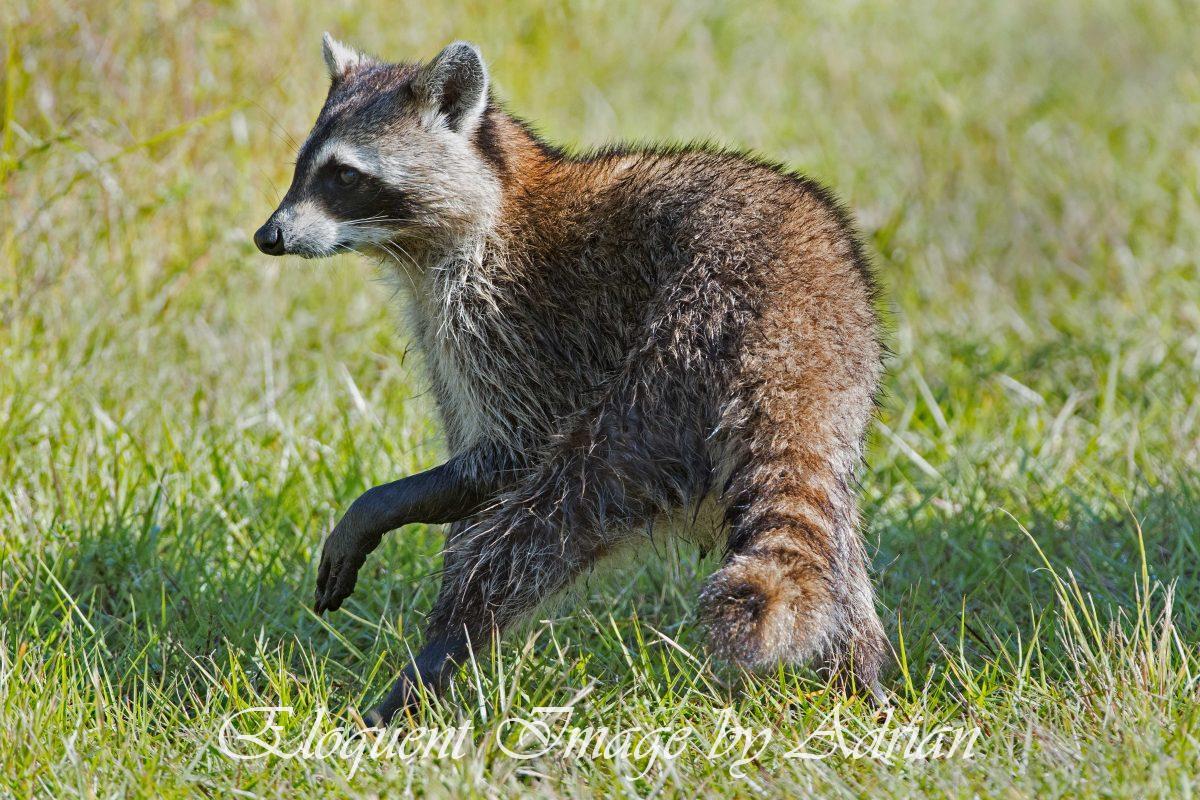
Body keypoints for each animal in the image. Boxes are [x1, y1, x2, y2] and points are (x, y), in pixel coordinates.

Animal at [255, 35, 889, 725]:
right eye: (300, 166)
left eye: (344, 175)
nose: (268, 235)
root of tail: (792, 319)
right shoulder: (444, 334)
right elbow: (473, 476)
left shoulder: (517, 322)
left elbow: (514, 452)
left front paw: (381, 505)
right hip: (839, 394)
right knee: (833, 549)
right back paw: (861, 675)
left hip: (673, 361)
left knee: (558, 508)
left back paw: (431, 663)